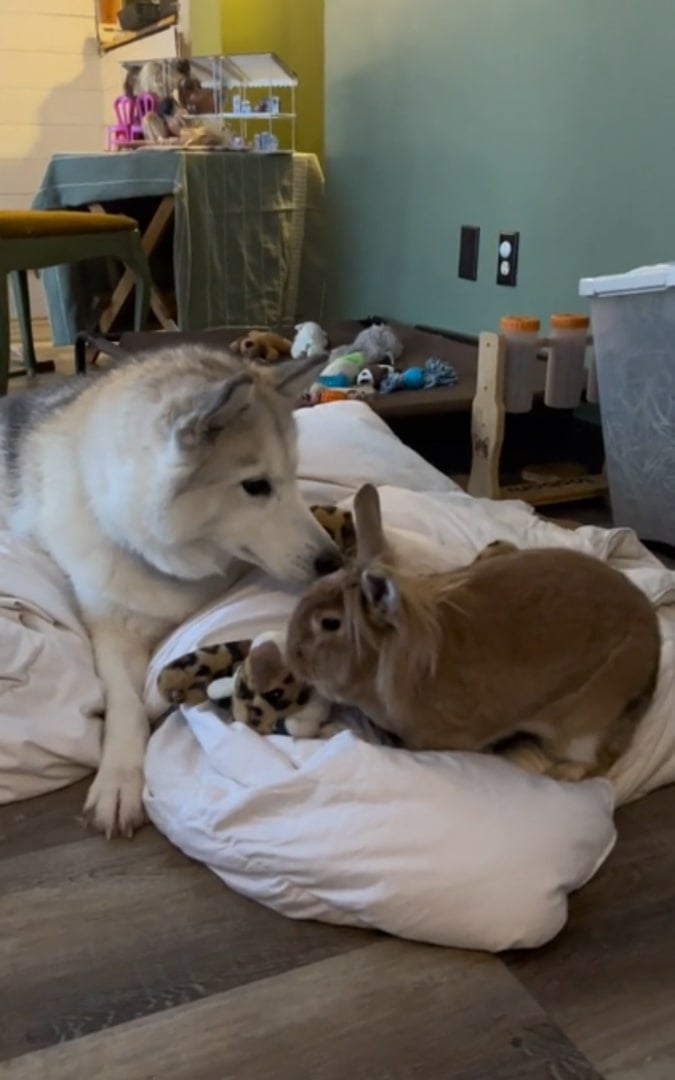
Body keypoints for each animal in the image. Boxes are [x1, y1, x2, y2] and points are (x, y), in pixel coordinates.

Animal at [0, 349, 336, 838]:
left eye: (294, 475)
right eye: (256, 486)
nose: (333, 560)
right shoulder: (110, 626)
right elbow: (124, 700)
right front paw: (119, 776)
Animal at [287, 486, 660, 781]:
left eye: (330, 623)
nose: (292, 655)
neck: (387, 660)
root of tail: (653, 652)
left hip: (581, 726)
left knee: (600, 762)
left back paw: (561, 774)